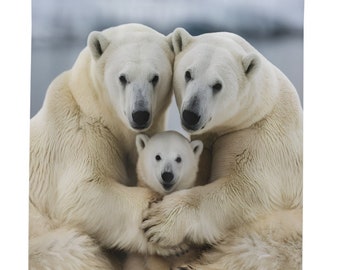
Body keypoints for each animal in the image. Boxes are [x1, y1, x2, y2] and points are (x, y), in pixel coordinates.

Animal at [28, 23, 183, 270]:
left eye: (155, 77)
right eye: (123, 77)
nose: (140, 114)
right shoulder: (77, 134)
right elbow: (83, 190)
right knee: (74, 248)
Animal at [141, 28, 302, 270]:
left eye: (217, 85)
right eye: (188, 74)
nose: (191, 114)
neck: (259, 111)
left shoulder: (265, 145)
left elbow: (245, 190)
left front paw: (158, 222)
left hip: (282, 235)